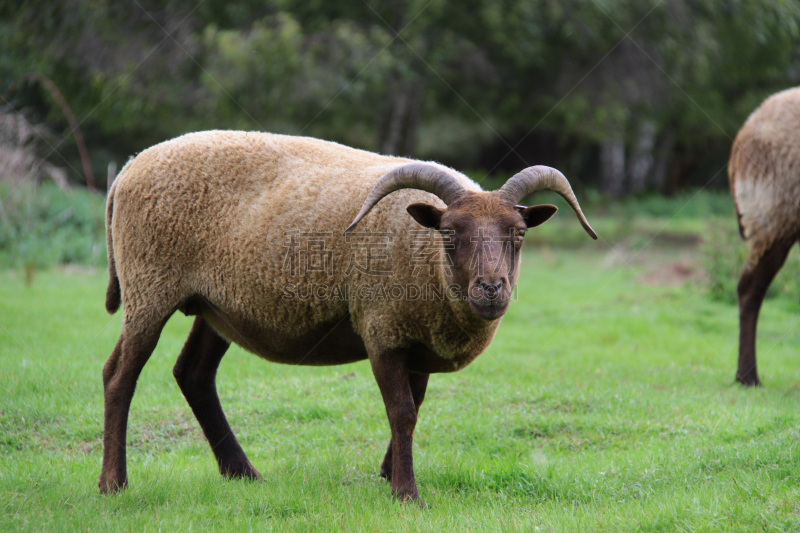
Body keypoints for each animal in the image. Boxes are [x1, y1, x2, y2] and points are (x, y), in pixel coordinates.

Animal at [100, 130, 596, 498]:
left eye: (518, 234)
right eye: (450, 233)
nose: (491, 289)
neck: (424, 256)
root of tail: (127, 169)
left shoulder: (419, 337)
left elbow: (414, 406)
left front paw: (390, 472)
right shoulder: (382, 330)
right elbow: (402, 411)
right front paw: (405, 492)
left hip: (213, 306)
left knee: (194, 374)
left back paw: (242, 473)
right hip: (149, 287)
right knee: (119, 376)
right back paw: (113, 483)